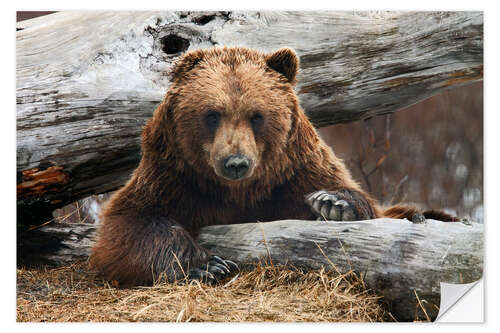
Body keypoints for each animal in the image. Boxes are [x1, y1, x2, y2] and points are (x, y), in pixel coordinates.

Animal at [90, 46, 458, 286]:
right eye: (212, 114)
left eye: (257, 115)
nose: (236, 162)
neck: (237, 192)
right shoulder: (174, 177)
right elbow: (129, 224)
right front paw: (206, 266)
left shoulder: (294, 172)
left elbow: (355, 197)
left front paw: (333, 203)